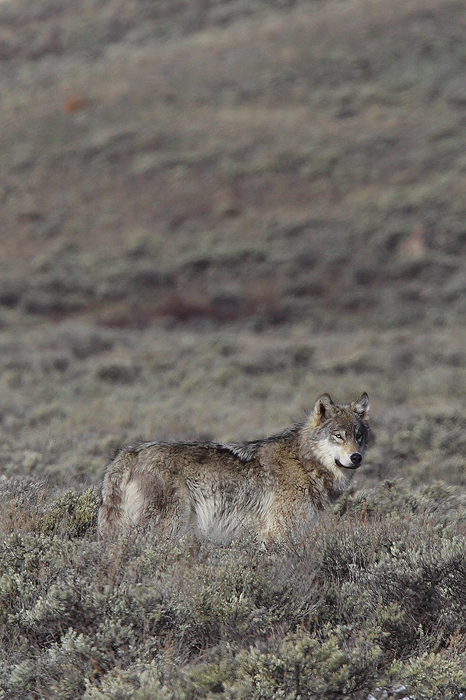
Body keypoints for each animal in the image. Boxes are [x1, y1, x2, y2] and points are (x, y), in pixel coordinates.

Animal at [98, 392, 370, 544]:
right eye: (338, 436)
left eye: (358, 436)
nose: (356, 457)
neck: (303, 463)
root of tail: (130, 452)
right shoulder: (277, 533)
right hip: (167, 527)